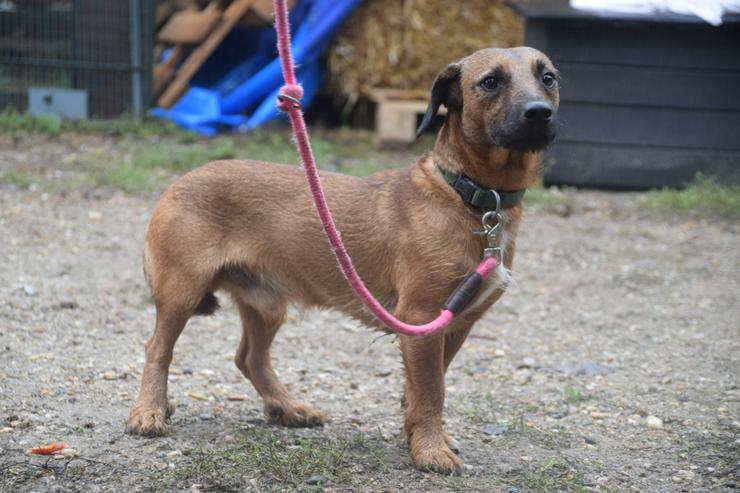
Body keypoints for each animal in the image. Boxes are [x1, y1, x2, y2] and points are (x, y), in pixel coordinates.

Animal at [127, 47, 556, 472]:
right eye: (490, 82)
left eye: (548, 77)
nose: (539, 113)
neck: (469, 196)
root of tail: (178, 182)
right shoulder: (421, 321)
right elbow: (432, 390)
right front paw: (431, 449)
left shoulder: (454, 326)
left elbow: (421, 390)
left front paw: (418, 437)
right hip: (182, 294)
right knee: (157, 349)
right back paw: (149, 411)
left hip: (267, 304)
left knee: (249, 358)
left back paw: (288, 407)